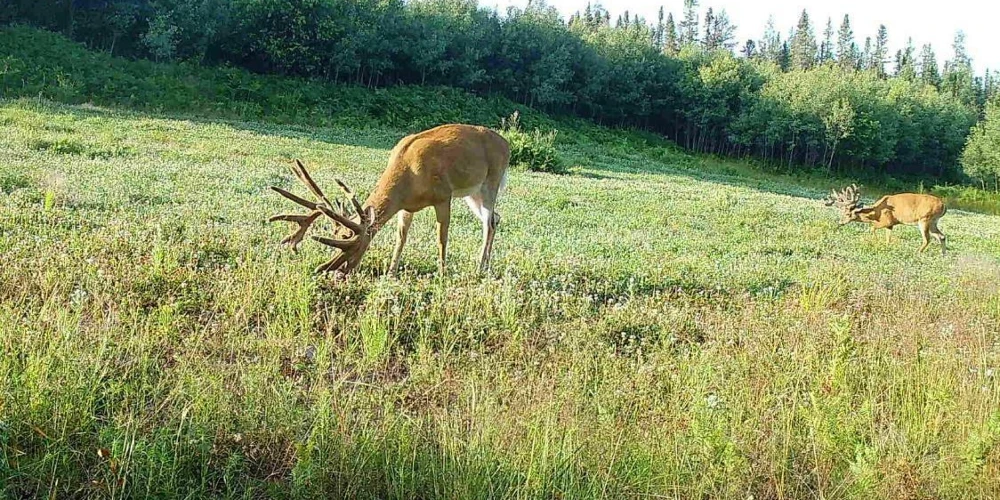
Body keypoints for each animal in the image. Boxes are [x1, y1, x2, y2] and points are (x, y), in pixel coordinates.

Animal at [268, 124, 511, 278]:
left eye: (354, 246)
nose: (340, 273)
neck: (409, 172)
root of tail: (507, 144)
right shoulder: (406, 206)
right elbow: (400, 238)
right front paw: (391, 273)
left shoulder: (444, 196)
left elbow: (442, 238)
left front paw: (442, 274)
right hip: (472, 193)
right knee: (496, 218)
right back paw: (485, 266)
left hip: (491, 180)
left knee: (488, 223)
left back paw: (479, 267)